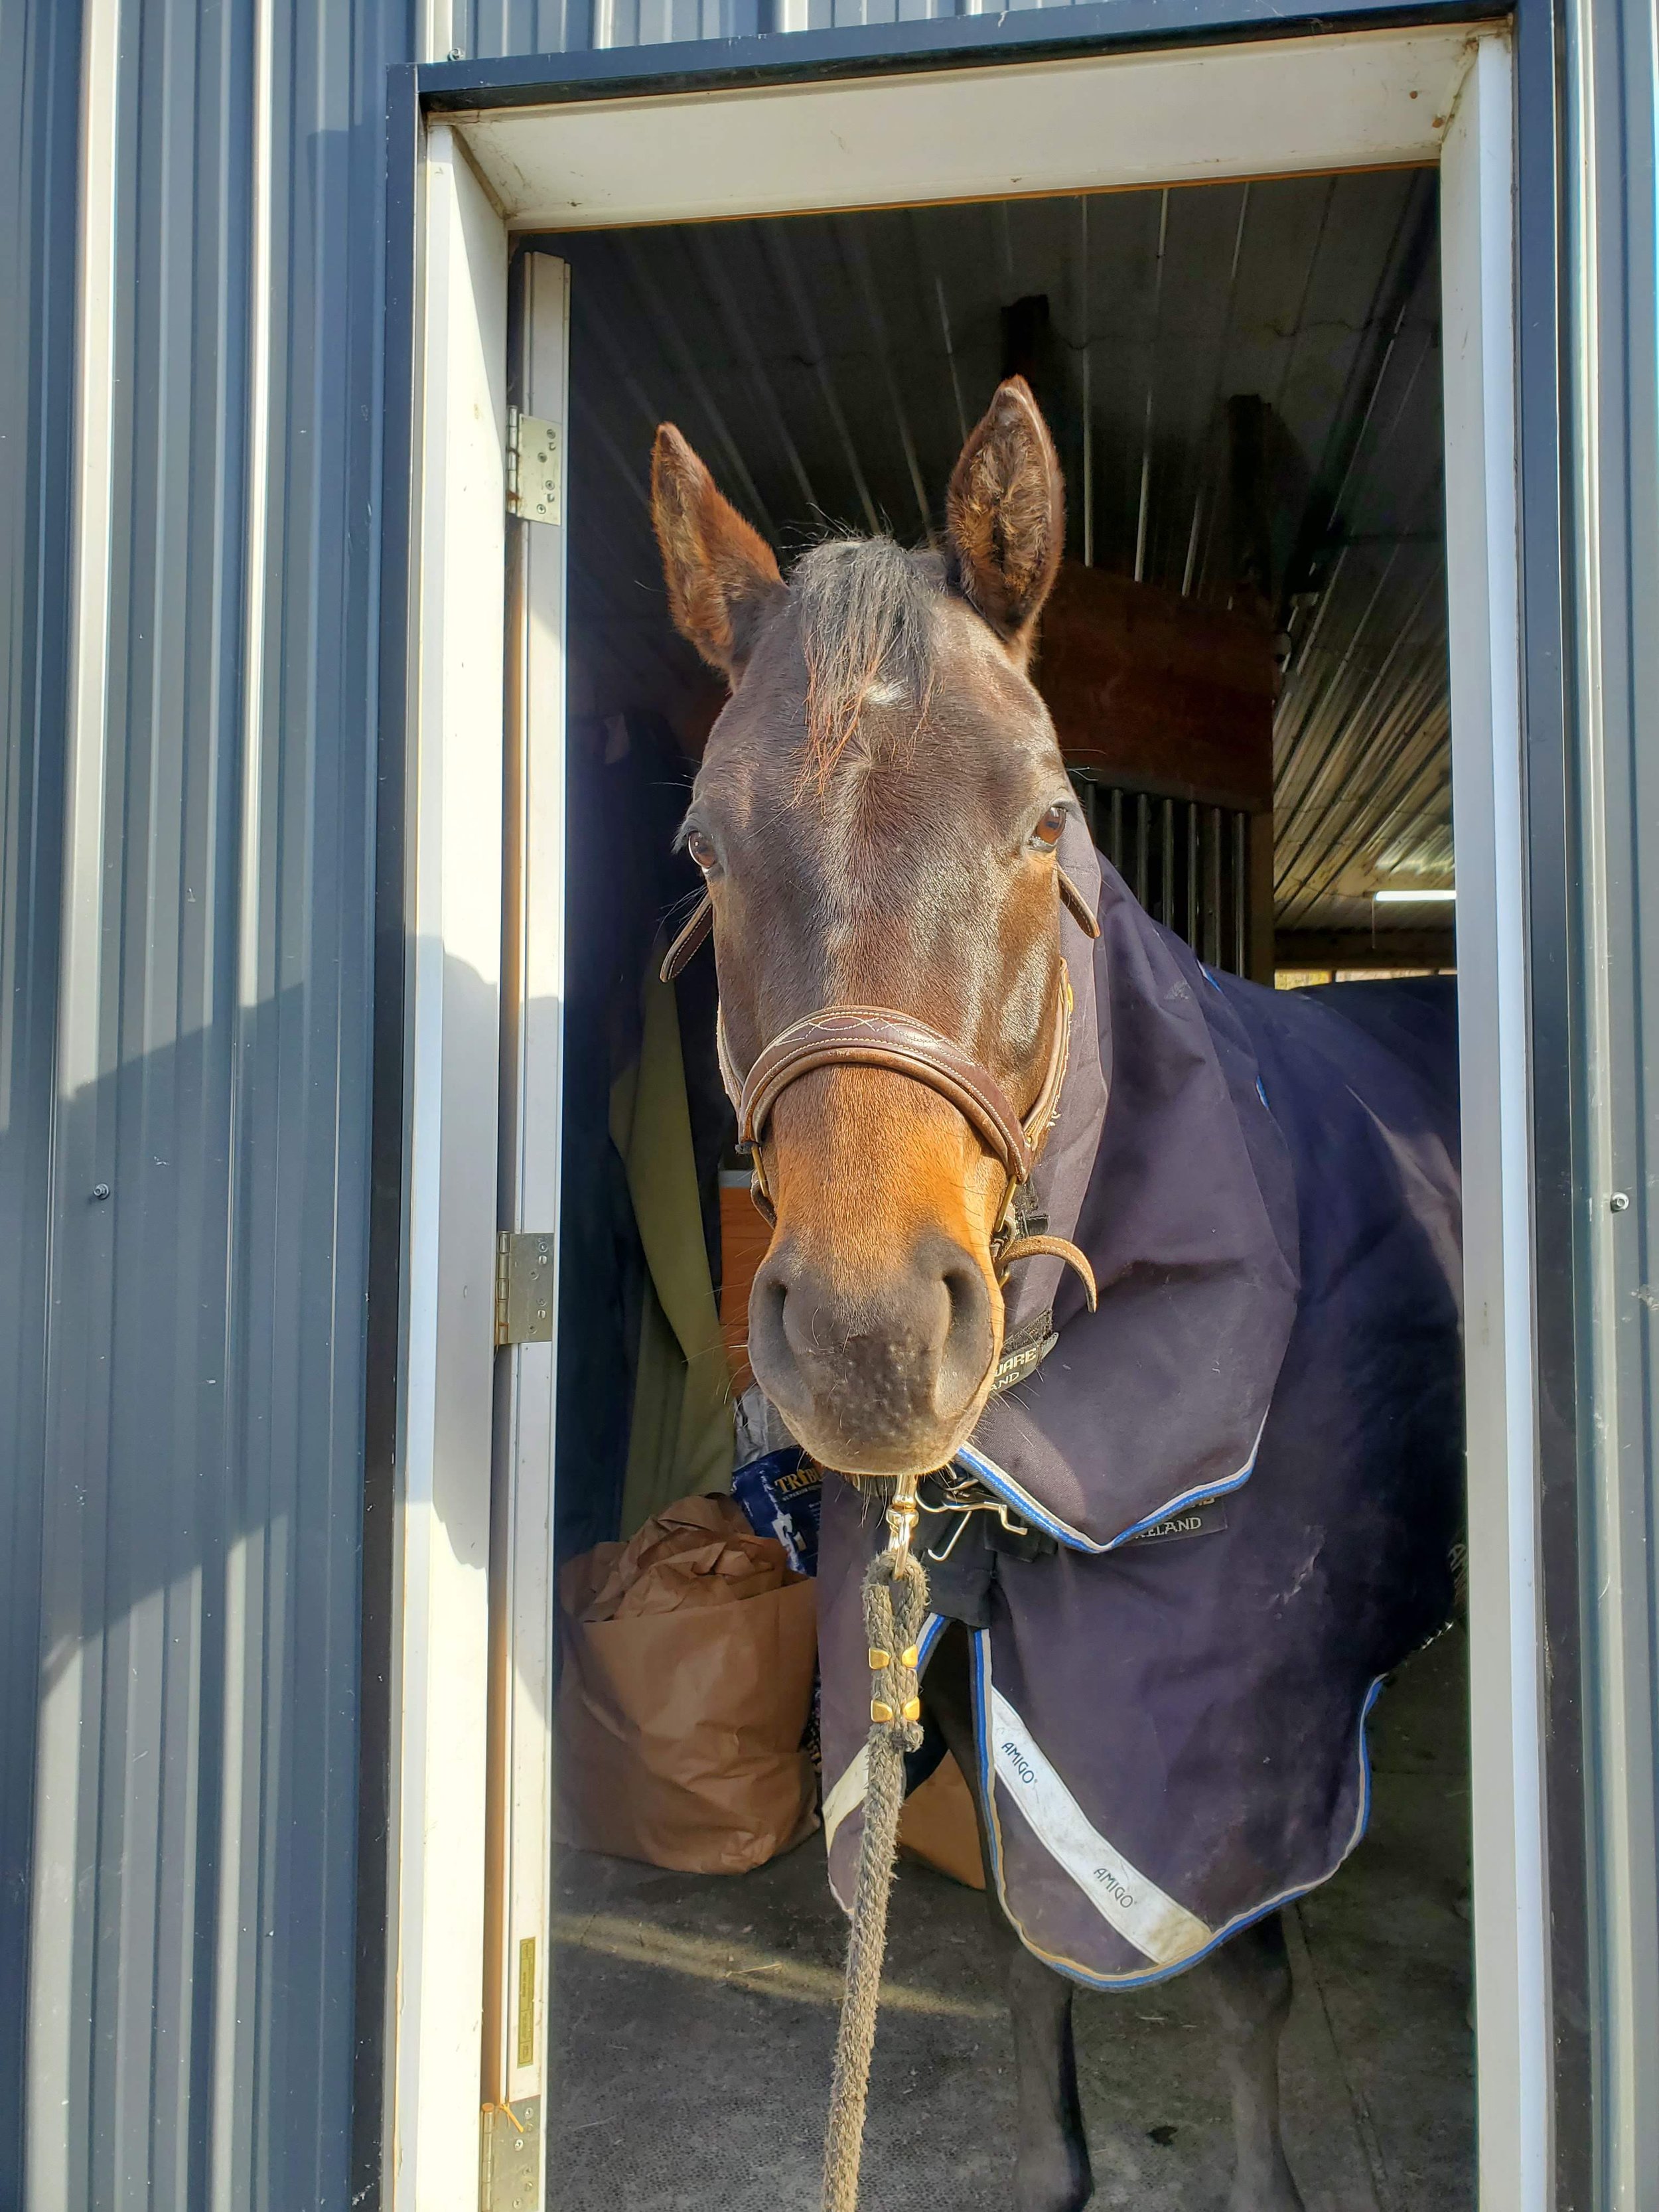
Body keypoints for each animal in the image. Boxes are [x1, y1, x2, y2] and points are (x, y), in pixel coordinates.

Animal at [648, 378, 1463, 2212]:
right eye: (705, 850)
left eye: (1044, 822)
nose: (871, 1339)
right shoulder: (960, 1664)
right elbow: (1027, 1954)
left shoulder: (1230, 1725)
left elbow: (1237, 1973)